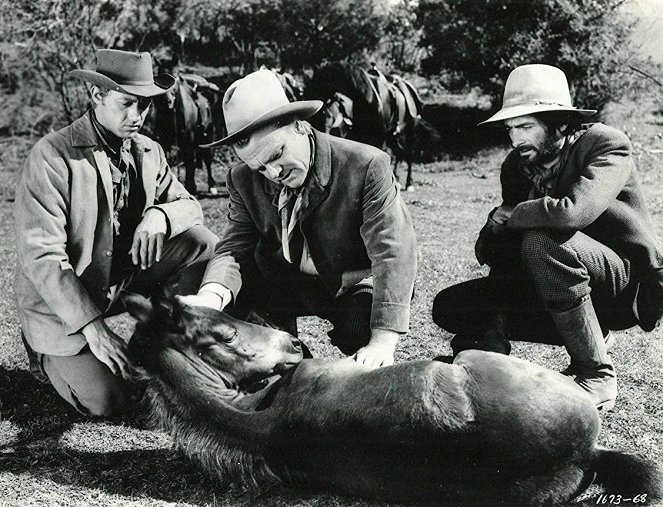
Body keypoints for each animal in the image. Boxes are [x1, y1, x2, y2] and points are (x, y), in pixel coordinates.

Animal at [304, 61, 436, 191]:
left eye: (314, 86)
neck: (367, 98)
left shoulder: (380, 138)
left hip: (409, 132)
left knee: (409, 155)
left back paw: (409, 183)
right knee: (398, 153)